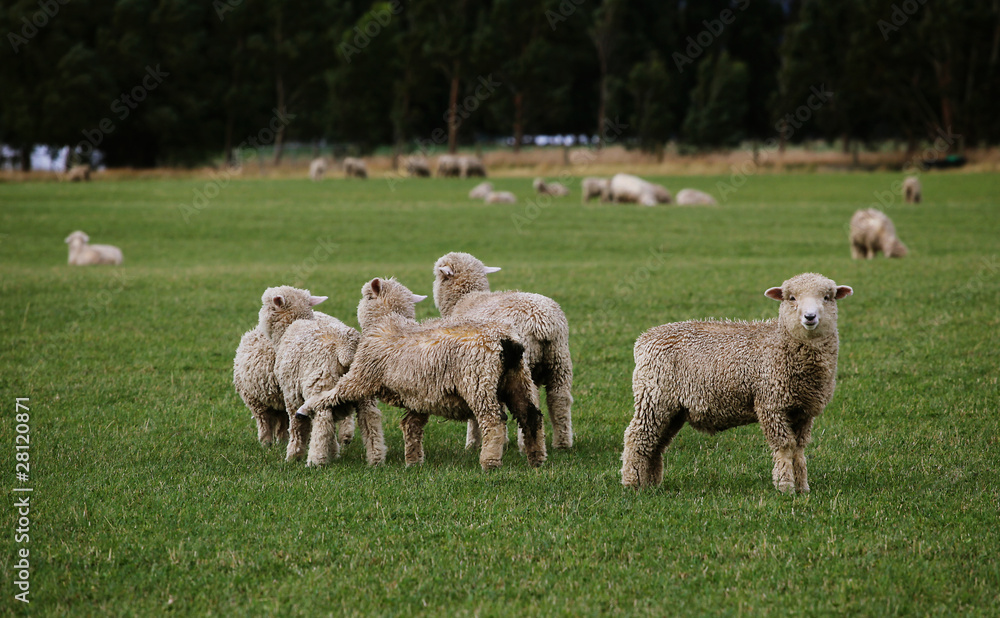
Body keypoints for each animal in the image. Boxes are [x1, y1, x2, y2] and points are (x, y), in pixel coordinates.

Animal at [257, 286, 386, 467]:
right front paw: (333, 452)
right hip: (363, 388)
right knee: (370, 419)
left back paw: (315, 461)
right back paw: (376, 459)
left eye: (267, 305)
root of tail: (345, 347)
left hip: (320, 382)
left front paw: (293, 456)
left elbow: (297, 426)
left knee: (322, 420)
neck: (290, 326)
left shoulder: (291, 395)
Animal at [296, 277, 546, 471]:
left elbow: (334, 393)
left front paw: (307, 407)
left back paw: (490, 462)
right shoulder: (420, 395)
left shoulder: (361, 376)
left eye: (366, 296)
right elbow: (411, 425)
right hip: (518, 378)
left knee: (493, 420)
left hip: (478, 382)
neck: (387, 321)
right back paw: (537, 459)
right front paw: (413, 461)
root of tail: (505, 341)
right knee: (531, 416)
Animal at [433, 252, 574, 450]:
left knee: (530, 403)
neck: (467, 299)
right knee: (559, 399)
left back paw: (525, 445)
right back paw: (562, 443)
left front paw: (473, 444)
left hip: (527, 362)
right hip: (559, 359)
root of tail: (542, 322)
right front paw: (502, 440)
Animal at [621, 272, 853, 493]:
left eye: (827, 297)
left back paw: (650, 483)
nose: (810, 317)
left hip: (672, 407)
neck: (780, 341)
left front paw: (802, 488)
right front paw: (785, 487)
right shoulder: (771, 404)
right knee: (637, 437)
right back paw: (632, 483)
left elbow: (798, 449)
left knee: (656, 443)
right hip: (654, 396)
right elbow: (785, 447)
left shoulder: (803, 411)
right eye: (791, 298)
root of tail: (644, 339)